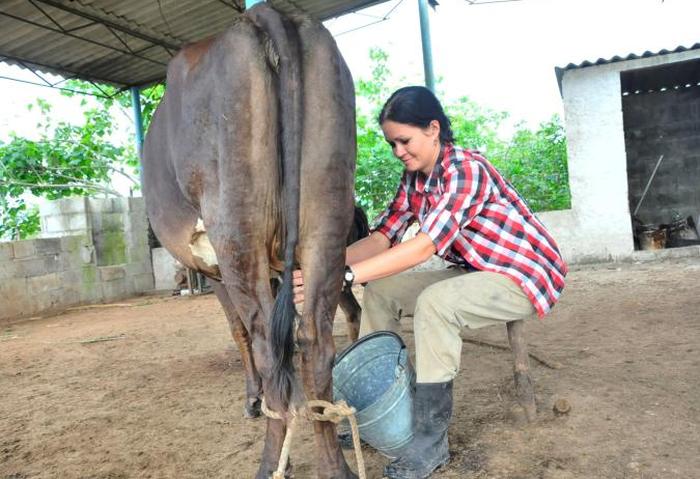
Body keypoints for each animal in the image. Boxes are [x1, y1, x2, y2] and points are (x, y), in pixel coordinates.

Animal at [144, 4, 360, 479]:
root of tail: (265, 14)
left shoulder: (215, 270)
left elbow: (237, 331)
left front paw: (251, 399)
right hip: (326, 220)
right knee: (314, 342)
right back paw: (334, 465)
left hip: (237, 236)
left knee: (266, 346)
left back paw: (270, 460)